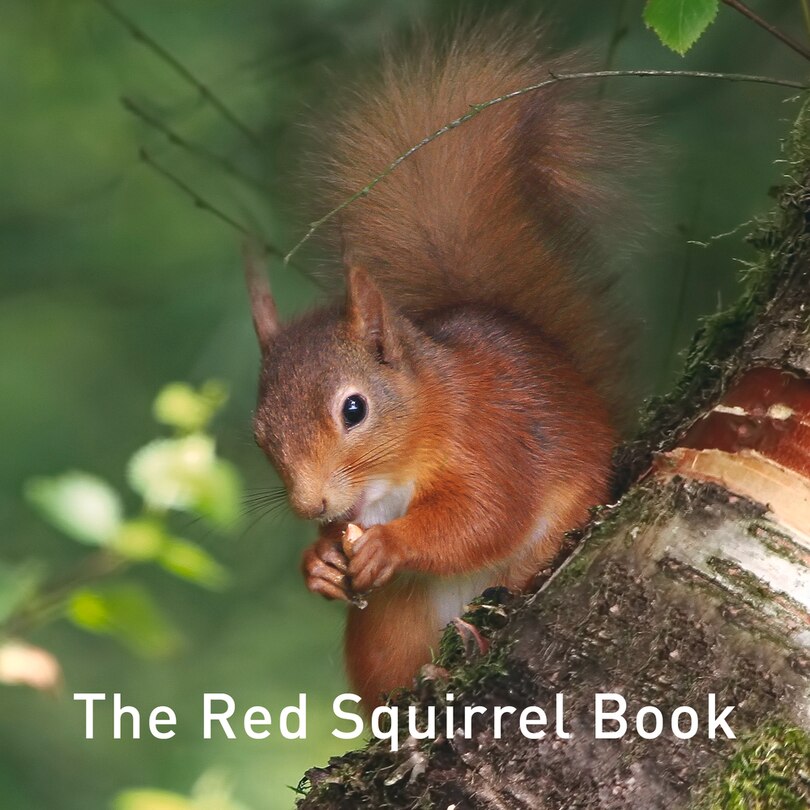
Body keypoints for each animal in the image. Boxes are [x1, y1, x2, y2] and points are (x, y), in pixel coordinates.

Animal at [246, 22, 636, 708]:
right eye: (259, 434)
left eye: (354, 409)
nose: (311, 506)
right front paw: (318, 562)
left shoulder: (493, 438)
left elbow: (486, 514)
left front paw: (390, 545)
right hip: (390, 626)